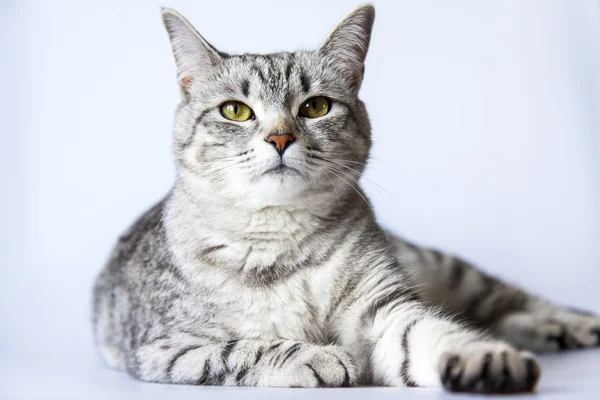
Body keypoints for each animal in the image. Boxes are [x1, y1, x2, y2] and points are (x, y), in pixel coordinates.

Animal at [92, 4, 600, 394]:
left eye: (316, 106)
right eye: (235, 111)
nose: (279, 138)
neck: (280, 242)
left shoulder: (385, 311)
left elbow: (434, 333)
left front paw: (485, 359)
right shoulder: (168, 347)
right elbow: (244, 347)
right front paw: (315, 357)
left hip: (445, 268)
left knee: (504, 299)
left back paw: (568, 324)